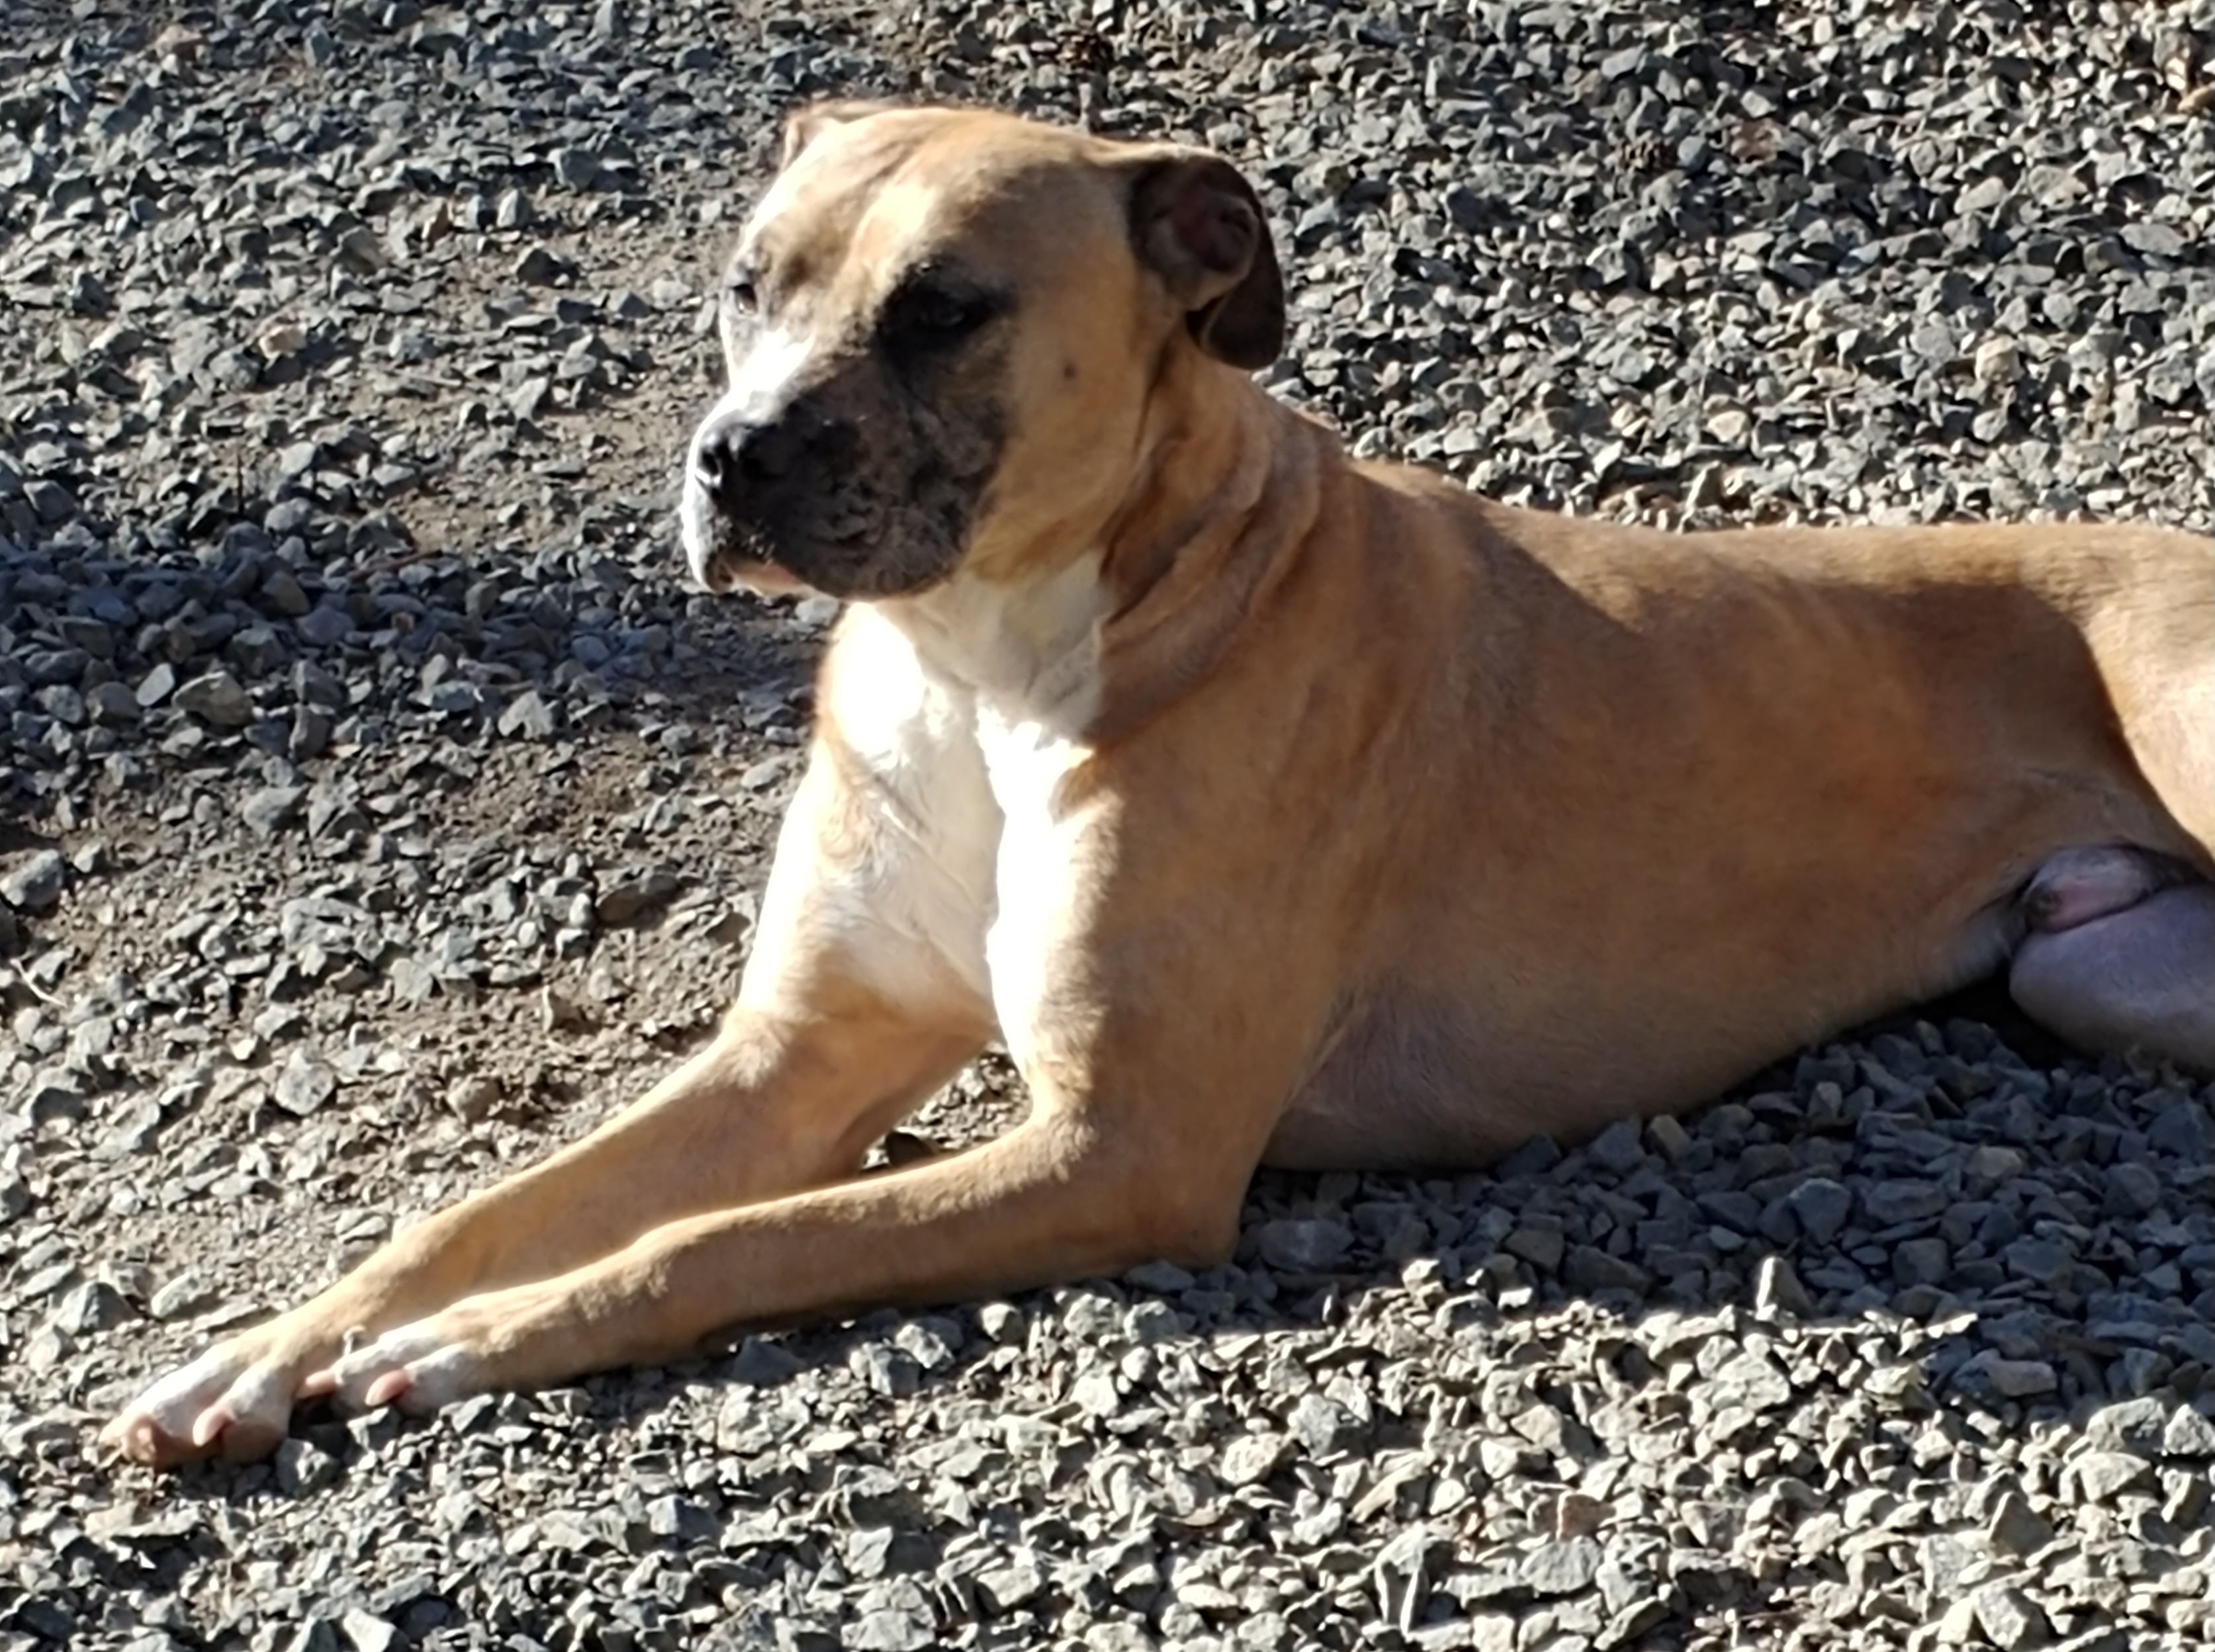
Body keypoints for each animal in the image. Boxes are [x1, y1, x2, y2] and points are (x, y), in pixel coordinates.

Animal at [108, 103, 2215, 1461]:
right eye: (745, 284)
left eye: (941, 306)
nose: (731, 458)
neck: (979, 663)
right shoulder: (794, 1055)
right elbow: (481, 1206)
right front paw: (267, 1350)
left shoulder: (1117, 1144)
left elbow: (723, 1238)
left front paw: (479, 1344)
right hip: (2096, 976)